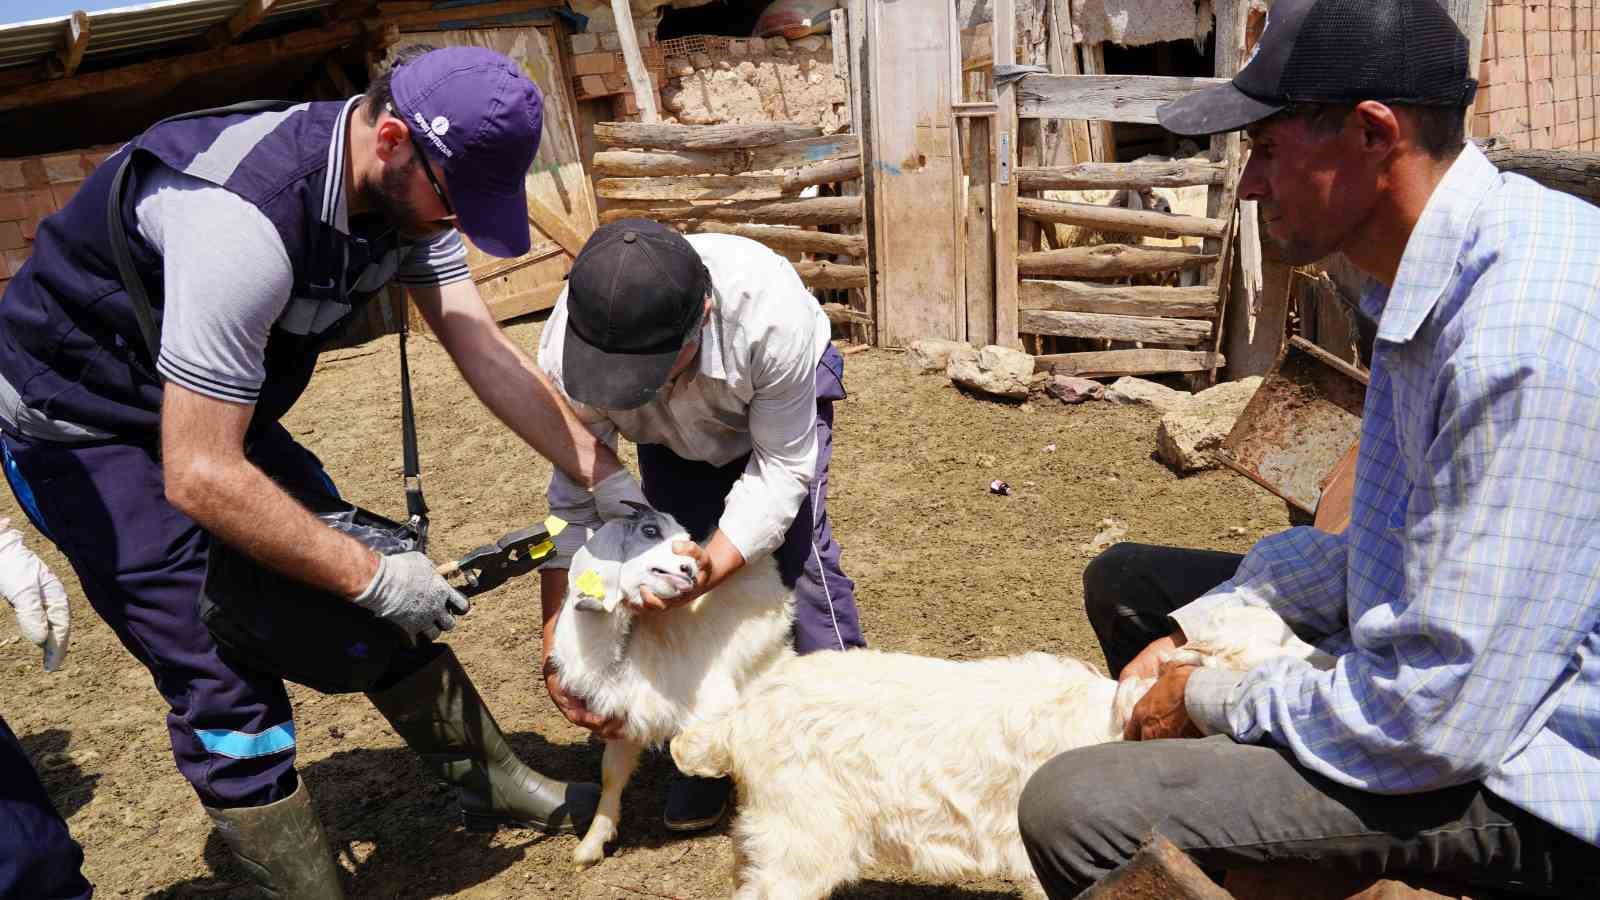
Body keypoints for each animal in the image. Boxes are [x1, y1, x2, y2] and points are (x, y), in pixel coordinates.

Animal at [547, 499, 796, 864]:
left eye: (684, 541)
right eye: (649, 531)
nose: (689, 570)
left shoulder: (716, 704)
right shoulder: (624, 715)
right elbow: (611, 773)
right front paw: (592, 842)